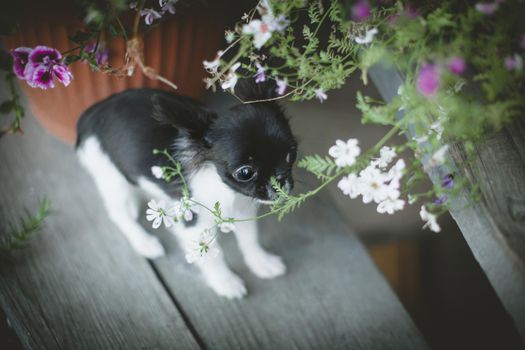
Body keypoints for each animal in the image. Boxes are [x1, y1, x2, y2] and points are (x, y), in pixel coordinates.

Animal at [74, 81, 296, 298]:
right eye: (245, 172)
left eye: (290, 155)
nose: (280, 182)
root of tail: (93, 112)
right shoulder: (193, 225)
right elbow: (212, 256)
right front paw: (225, 282)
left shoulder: (243, 210)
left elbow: (250, 239)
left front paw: (261, 262)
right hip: (112, 179)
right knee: (118, 214)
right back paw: (144, 242)